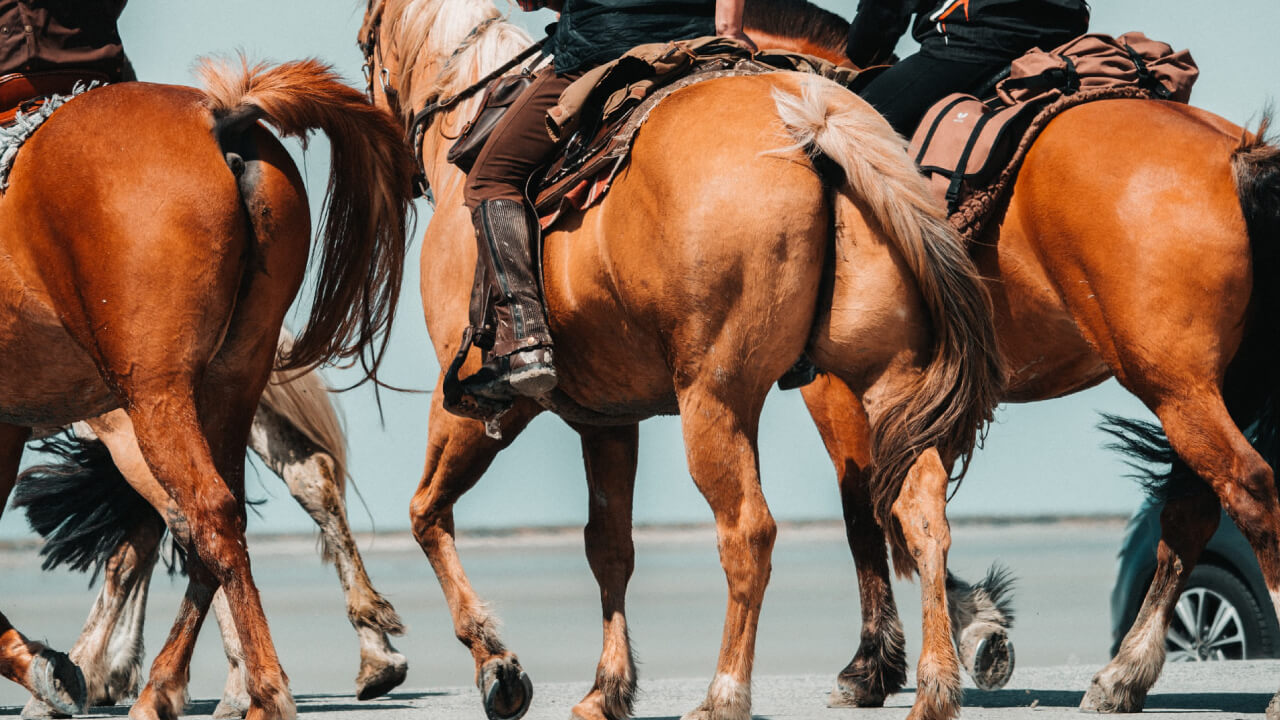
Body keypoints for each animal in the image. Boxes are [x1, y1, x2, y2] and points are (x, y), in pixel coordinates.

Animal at [359, 0, 1004, 718]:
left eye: (365, 47)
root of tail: (812, 125)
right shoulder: (607, 422)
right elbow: (608, 548)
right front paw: (606, 687)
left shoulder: (477, 405)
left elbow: (425, 514)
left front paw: (497, 665)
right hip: (887, 380)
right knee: (919, 513)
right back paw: (936, 683)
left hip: (716, 398)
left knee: (750, 532)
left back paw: (725, 691)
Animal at [743, 3, 1280, 719]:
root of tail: (1236, 154)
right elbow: (911, 505)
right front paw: (977, 629)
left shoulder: (840, 390)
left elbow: (869, 511)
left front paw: (874, 667)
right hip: (1208, 388)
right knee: (1192, 509)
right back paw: (1122, 676)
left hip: (1176, 387)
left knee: (1250, 491)